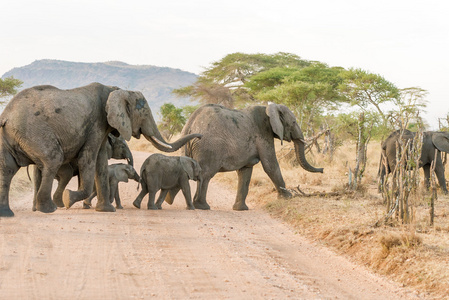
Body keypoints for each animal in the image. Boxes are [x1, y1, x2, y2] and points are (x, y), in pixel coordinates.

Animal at [0, 83, 200, 217]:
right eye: (143, 112)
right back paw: (49, 209)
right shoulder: (96, 123)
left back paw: (7, 214)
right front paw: (69, 198)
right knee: (53, 159)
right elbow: (87, 159)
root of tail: (6, 116)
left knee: (7, 169)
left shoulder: (103, 125)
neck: (115, 90)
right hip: (33, 132)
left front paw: (106, 210)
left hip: (11, 136)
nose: (199, 137)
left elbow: (100, 161)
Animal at [180, 103, 324, 211]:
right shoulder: (263, 134)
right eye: (293, 122)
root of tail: (190, 124)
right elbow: (270, 165)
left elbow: (246, 171)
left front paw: (241, 209)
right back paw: (203, 206)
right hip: (209, 147)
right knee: (206, 175)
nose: (322, 169)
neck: (268, 108)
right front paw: (288, 197)